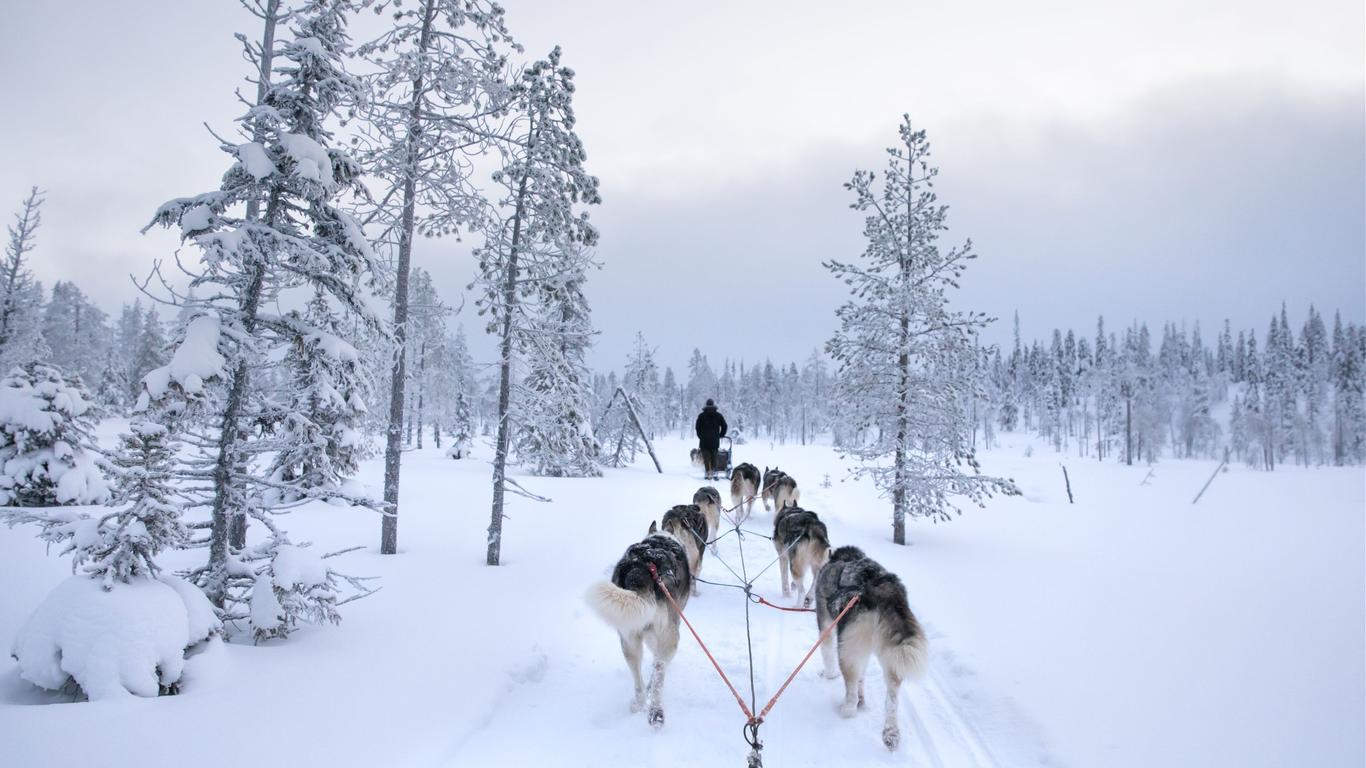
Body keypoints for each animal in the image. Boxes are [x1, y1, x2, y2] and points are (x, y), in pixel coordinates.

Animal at [584, 530, 693, 727]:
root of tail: (643, 568)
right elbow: (657, 658)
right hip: (670, 637)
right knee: (659, 672)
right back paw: (656, 711)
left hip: (628, 639)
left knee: (637, 679)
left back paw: (639, 704)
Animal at [814, 543, 934, 748]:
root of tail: (885, 591)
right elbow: (862, 677)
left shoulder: (826, 625)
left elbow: (827, 654)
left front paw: (829, 675)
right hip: (889, 657)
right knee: (891, 701)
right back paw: (891, 732)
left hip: (847, 652)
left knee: (851, 690)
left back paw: (847, 708)